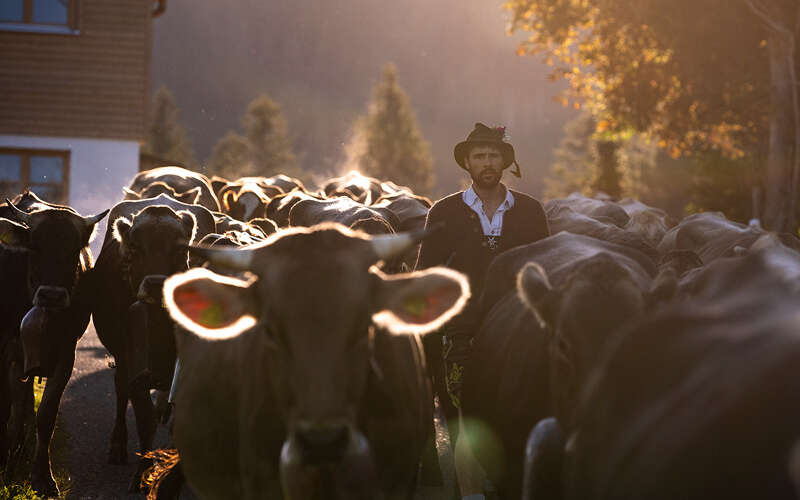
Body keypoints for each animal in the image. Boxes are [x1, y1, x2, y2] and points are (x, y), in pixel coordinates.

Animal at [1, 198, 108, 496]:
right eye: (35, 247)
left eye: (73, 251)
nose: (52, 295)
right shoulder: (8, 352)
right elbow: (9, 409)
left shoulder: (66, 354)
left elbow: (46, 415)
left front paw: (42, 477)